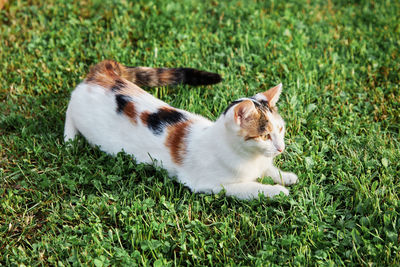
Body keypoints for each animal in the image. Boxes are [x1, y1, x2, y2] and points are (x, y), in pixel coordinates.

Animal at [65, 60, 296, 199]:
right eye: (264, 135)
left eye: (281, 129)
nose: (281, 148)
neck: (250, 158)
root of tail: (103, 73)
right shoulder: (212, 185)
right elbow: (253, 188)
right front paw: (278, 191)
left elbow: (269, 169)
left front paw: (287, 176)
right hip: (78, 109)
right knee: (68, 111)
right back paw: (70, 139)